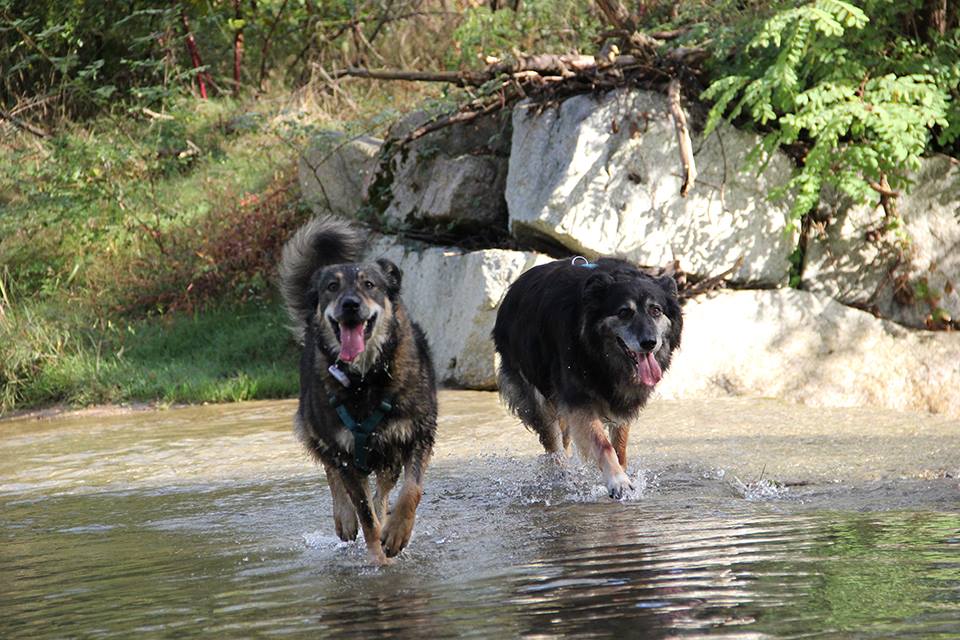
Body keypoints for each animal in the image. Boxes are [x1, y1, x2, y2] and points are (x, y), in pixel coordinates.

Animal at [280, 216, 436, 564]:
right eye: (332, 287)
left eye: (369, 285)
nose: (350, 305)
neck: (366, 380)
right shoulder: (345, 451)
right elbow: (364, 513)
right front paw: (377, 556)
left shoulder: (417, 434)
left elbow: (411, 490)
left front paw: (397, 532)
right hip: (315, 429)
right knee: (333, 473)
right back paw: (345, 517)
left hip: (388, 452)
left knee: (384, 488)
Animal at [496, 258, 684, 498]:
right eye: (624, 312)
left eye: (656, 310)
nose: (649, 343)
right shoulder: (579, 401)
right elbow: (603, 444)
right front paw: (618, 481)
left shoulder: (621, 404)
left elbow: (619, 447)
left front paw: (622, 471)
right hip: (535, 398)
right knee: (554, 445)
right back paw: (562, 477)